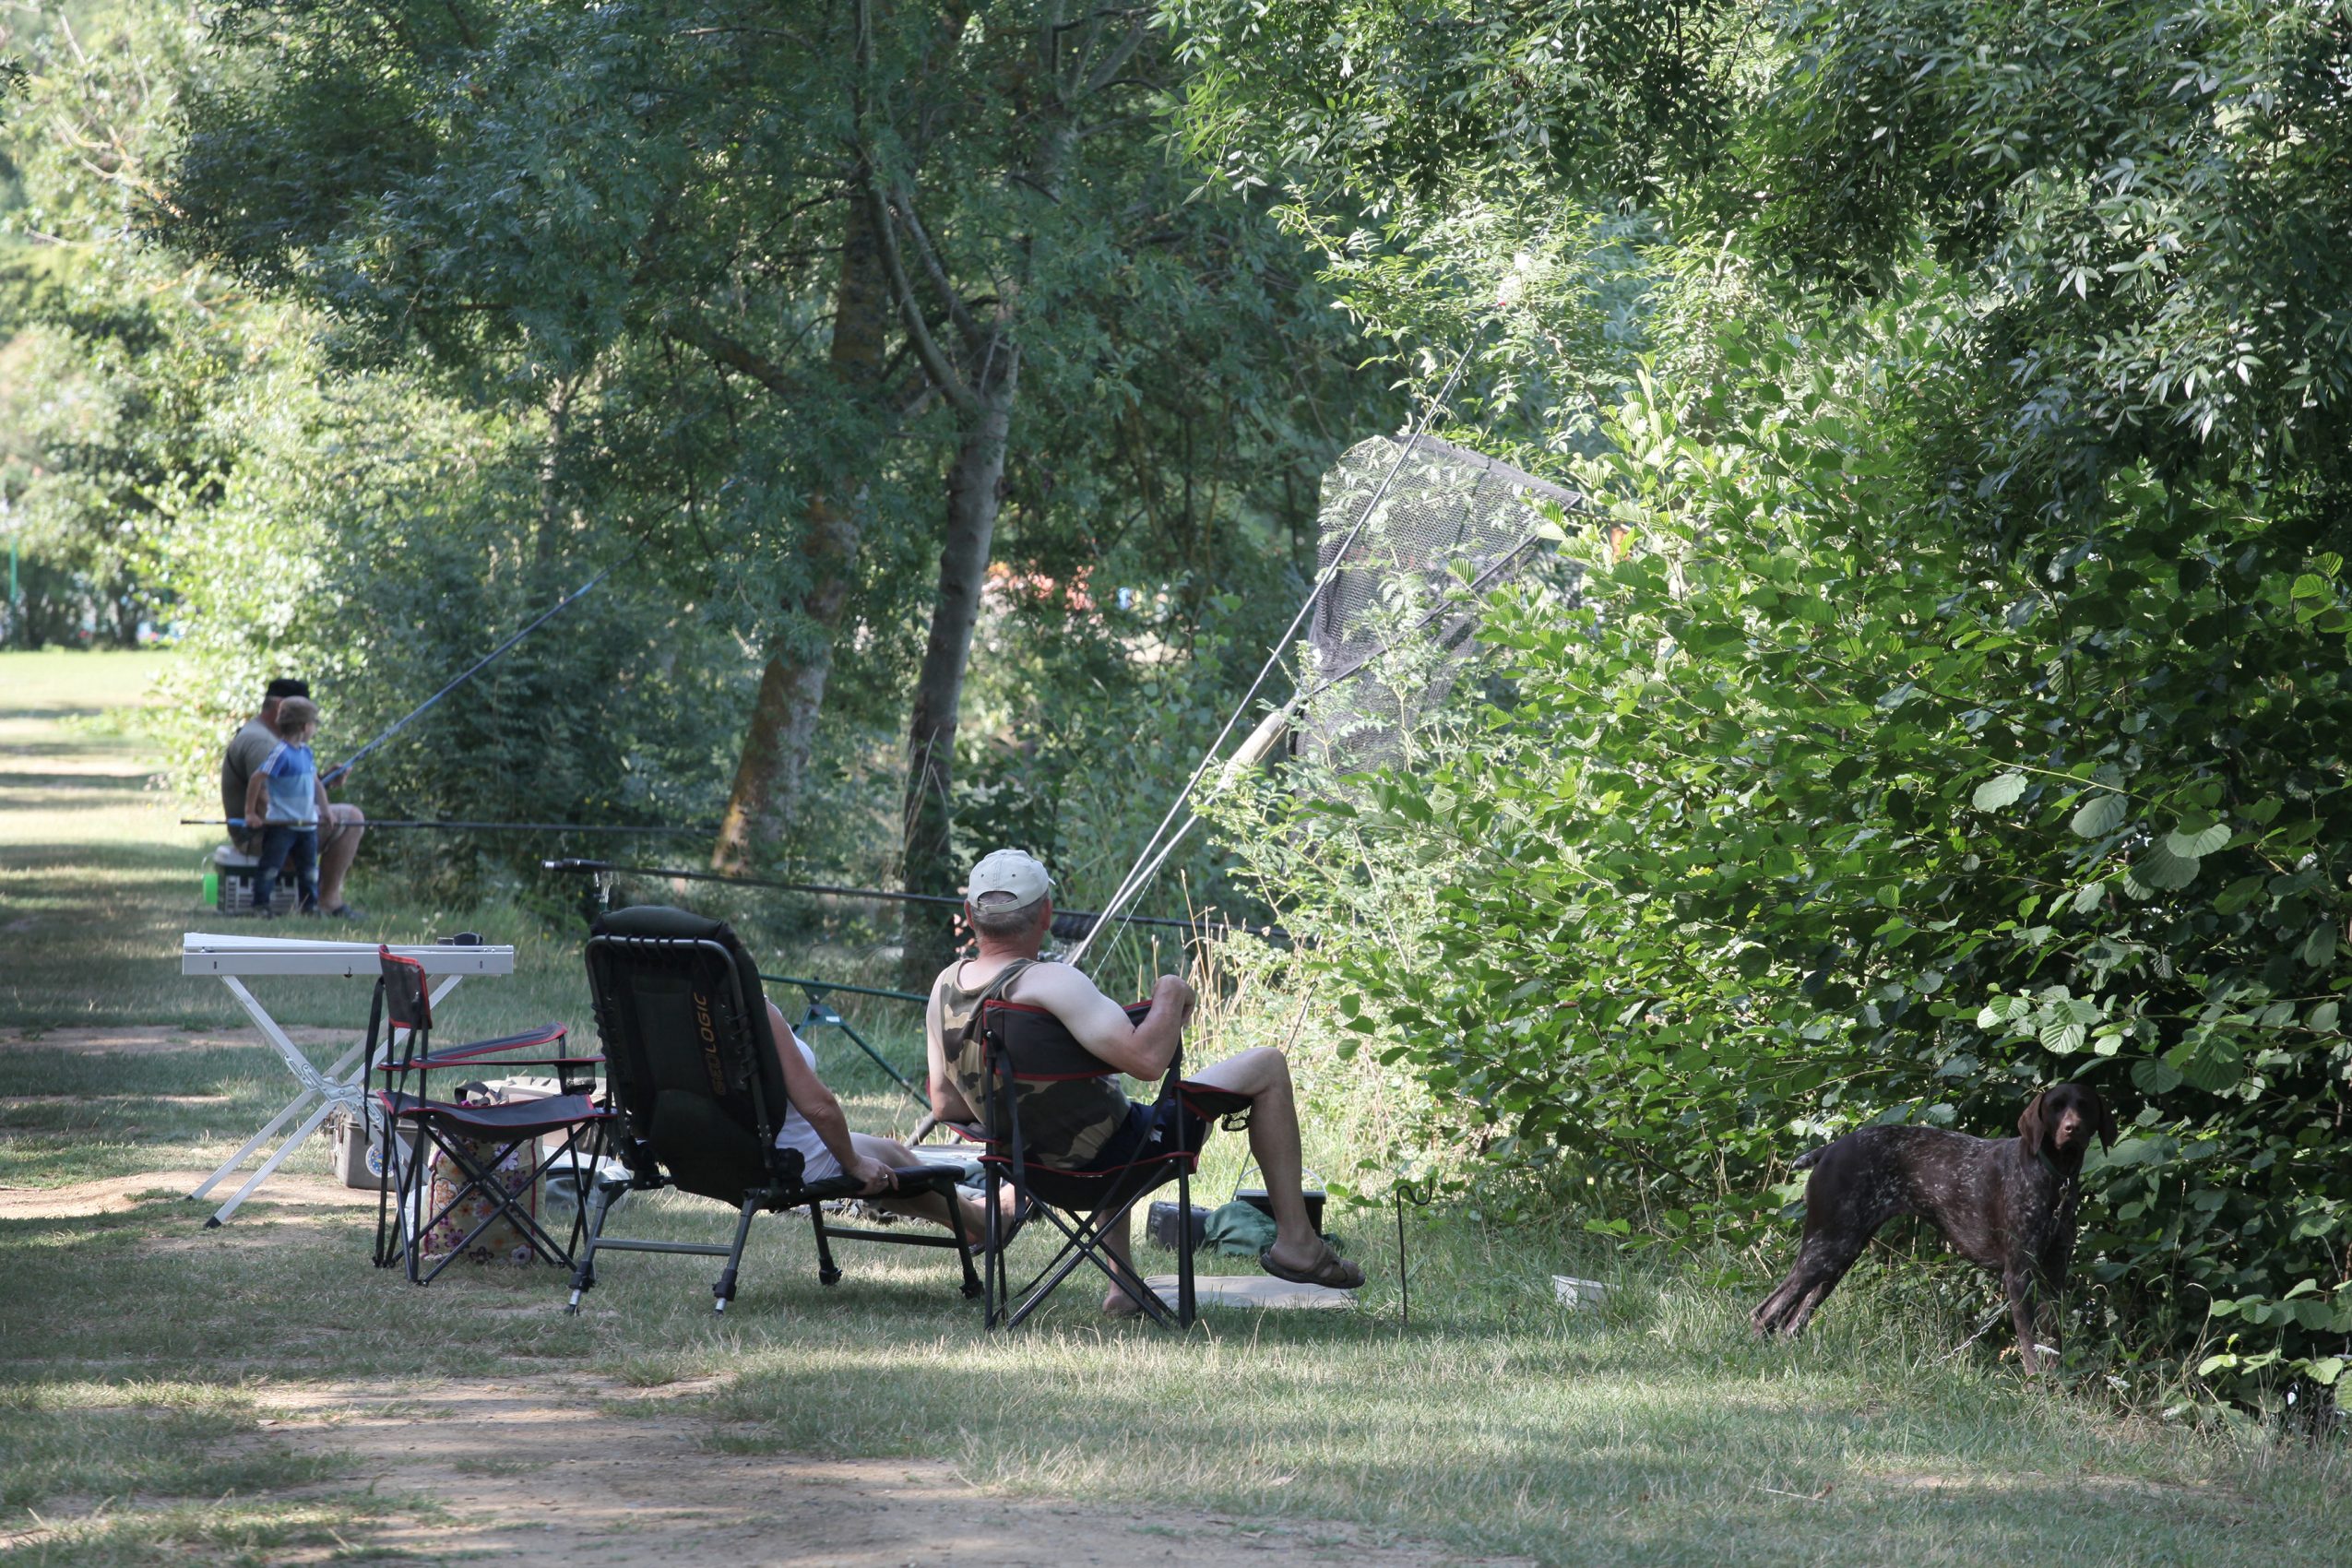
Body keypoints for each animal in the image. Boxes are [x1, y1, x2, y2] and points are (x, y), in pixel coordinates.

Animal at [1750, 1086, 2117, 1363]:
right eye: (2055, 1107)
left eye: (2084, 1106)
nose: (2072, 1129)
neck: (2054, 1177)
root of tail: (1830, 1148)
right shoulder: (2018, 1274)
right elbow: (2029, 1347)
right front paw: (2034, 1387)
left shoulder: (2054, 1274)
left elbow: (2053, 1343)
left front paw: (2058, 1390)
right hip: (1827, 1249)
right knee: (1765, 1313)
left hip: (1840, 1256)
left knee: (1790, 1325)